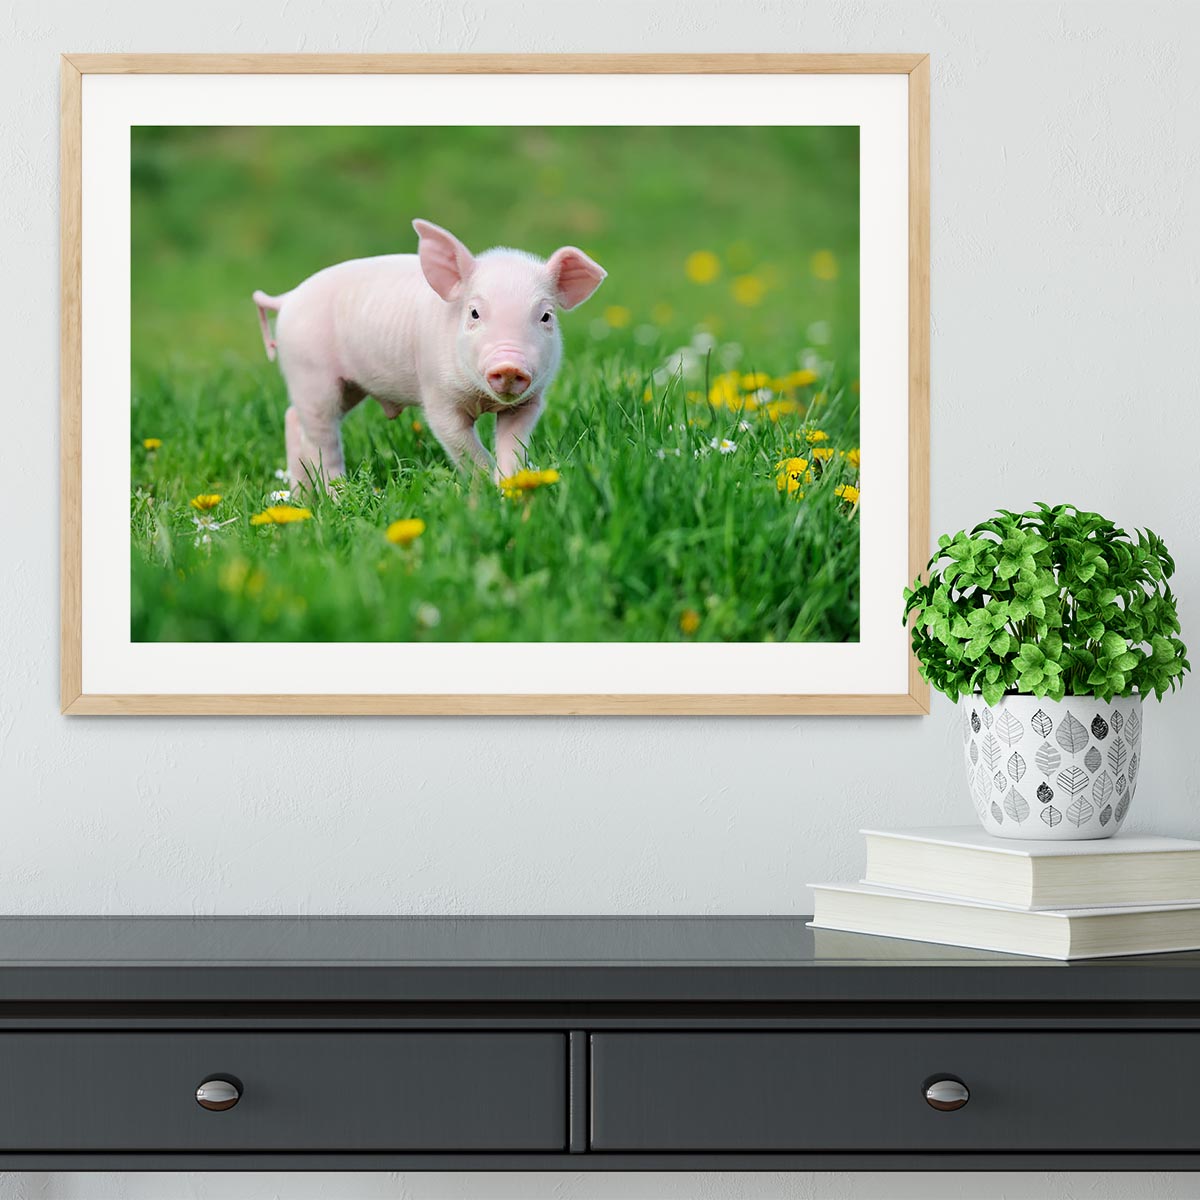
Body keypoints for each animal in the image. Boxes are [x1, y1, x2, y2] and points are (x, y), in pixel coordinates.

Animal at [252, 220, 607, 488]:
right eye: (474, 313)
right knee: (321, 440)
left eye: (546, 316)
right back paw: (337, 496)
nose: (509, 364)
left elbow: (513, 446)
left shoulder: (530, 401)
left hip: (344, 385)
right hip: (309, 372)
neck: (482, 399)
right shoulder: (438, 397)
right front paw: (485, 491)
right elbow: (464, 448)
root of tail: (287, 298)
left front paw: (511, 487)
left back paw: (300, 499)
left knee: (294, 420)